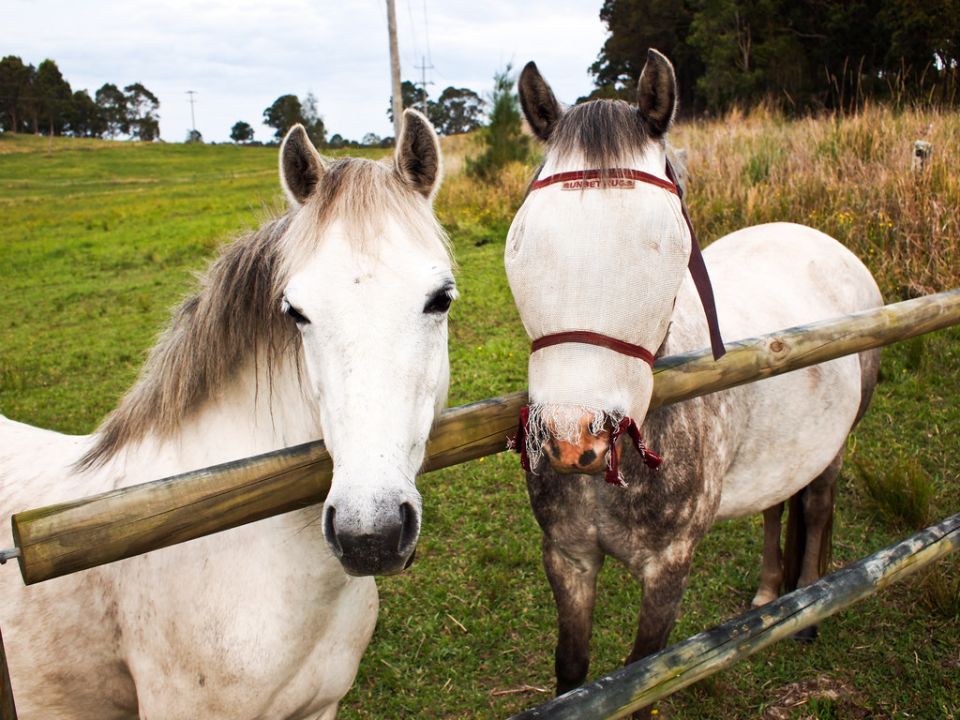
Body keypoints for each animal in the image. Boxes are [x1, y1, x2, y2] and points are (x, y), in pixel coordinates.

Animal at [506, 52, 880, 716]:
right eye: (523, 241)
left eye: (663, 242)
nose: (574, 439)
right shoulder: (568, 558)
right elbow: (572, 675)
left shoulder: (668, 570)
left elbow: (638, 684)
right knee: (777, 506)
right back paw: (769, 595)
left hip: (833, 451)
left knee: (817, 507)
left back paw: (808, 610)